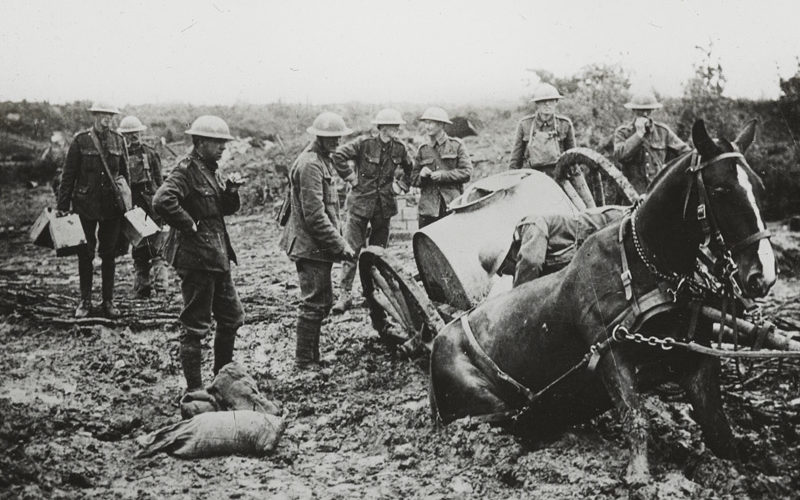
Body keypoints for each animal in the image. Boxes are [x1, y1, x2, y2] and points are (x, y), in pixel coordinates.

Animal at [432, 119, 776, 486]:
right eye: (721, 189)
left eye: (759, 187)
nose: (764, 274)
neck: (646, 266)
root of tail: (438, 341)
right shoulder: (610, 352)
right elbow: (635, 415)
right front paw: (639, 475)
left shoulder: (696, 360)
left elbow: (720, 432)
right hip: (486, 406)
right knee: (498, 420)